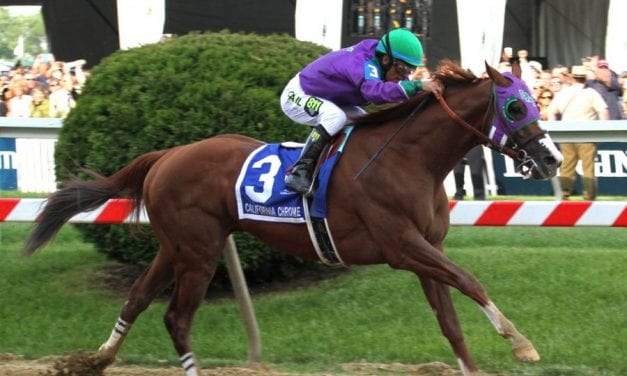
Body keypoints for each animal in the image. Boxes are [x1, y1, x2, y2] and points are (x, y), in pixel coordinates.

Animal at [23, 62, 564, 376]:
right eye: (516, 106)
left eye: (535, 101)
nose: (553, 159)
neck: (410, 159)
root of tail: (167, 154)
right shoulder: (402, 246)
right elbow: (470, 281)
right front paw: (523, 345)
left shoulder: (428, 249)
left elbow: (451, 322)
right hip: (198, 252)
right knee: (177, 318)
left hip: (177, 245)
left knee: (137, 298)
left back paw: (97, 358)